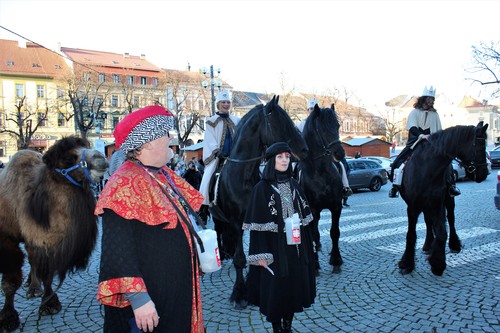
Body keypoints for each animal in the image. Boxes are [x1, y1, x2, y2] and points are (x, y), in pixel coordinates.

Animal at [208, 96, 308, 308]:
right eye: (282, 122)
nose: (305, 149)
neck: (243, 177)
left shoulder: (256, 219)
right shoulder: (236, 223)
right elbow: (240, 259)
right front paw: (239, 293)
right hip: (219, 219)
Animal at [294, 105, 346, 272]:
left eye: (338, 126)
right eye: (322, 129)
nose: (340, 153)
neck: (322, 173)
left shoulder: (336, 206)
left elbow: (334, 232)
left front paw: (336, 259)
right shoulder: (313, 210)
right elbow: (314, 233)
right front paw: (315, 263)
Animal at [398, 122, 488, 274]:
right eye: (481, 147)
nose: (484, 173)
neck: (428, 169)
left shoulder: (437, 203)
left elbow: (442, 231)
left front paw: (437, 263)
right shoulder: (413, 206)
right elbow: (411, 233)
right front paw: (407, 262)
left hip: (448, 200)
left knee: (450, 219)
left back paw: (453, 244)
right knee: (428, 222)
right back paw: (428, 244)